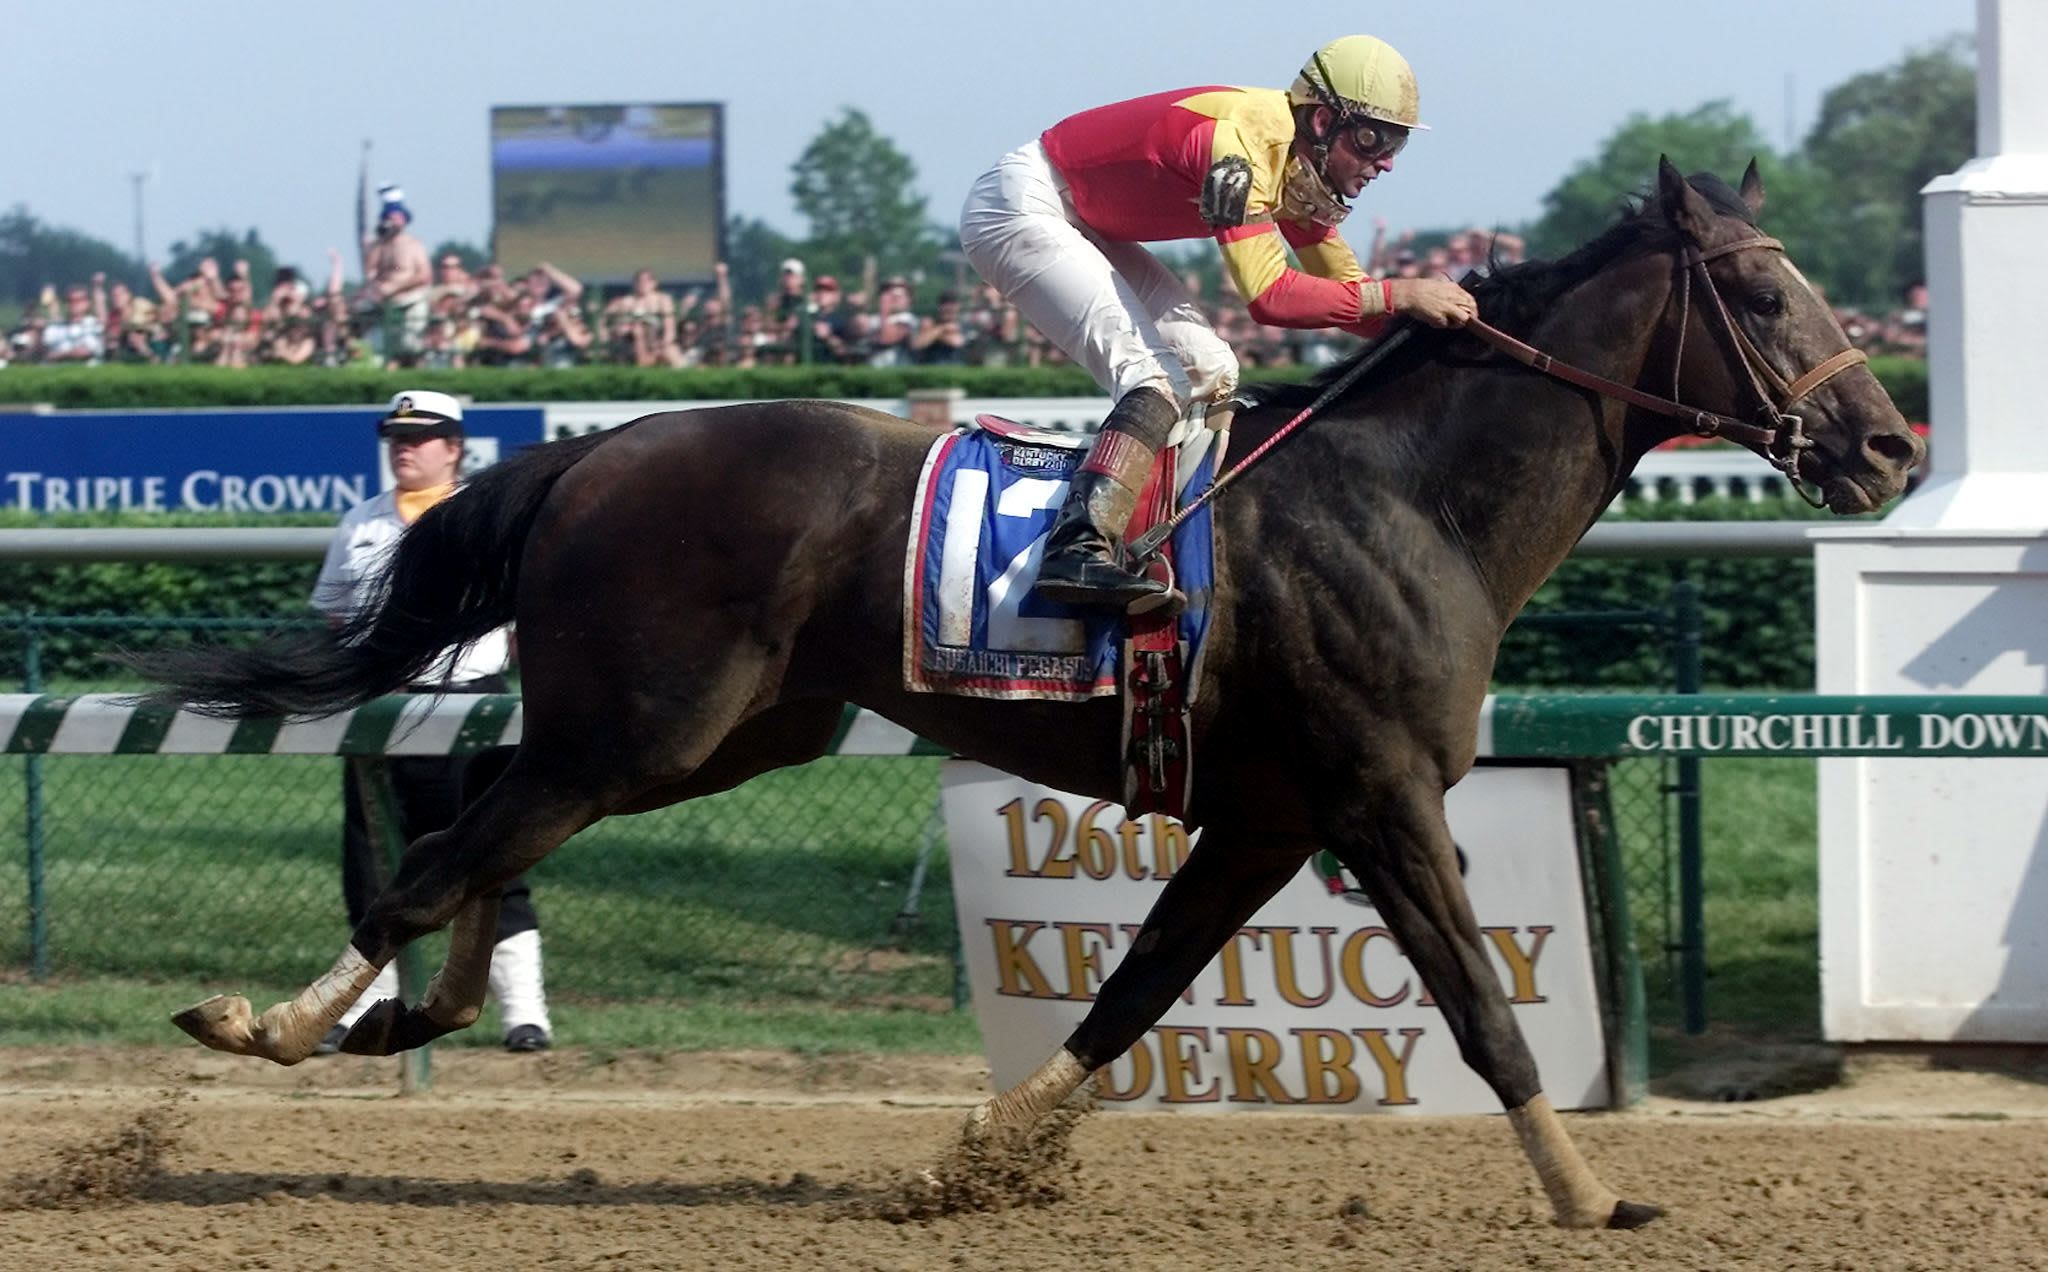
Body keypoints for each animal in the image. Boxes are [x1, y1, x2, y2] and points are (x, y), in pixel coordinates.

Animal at [136, 160, 1920, 1230]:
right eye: (1769, 295)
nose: (1892, 447)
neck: (1407, 501)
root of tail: (591, 452)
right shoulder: (1381, 796)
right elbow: (1481, 1008)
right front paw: (1588, 1196)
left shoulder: (1267, 818)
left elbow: (1134, 994)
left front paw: (976, 1164)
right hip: (643, 724)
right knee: (456, 849)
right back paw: (277, 1024)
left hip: (707, 738)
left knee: (493, 838)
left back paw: (416, 1009)